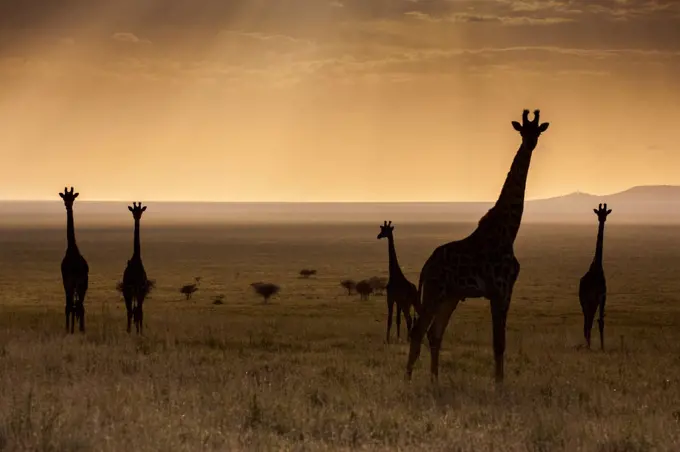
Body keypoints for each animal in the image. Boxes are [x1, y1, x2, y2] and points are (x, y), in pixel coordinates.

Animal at [406, 109, 548, 384]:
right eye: (522, 130)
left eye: (537, 130)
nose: (530, 143)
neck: (508, 232)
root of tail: (426, 267)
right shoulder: (498, 291)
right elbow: (498, 343)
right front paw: (499, 385)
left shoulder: (507, 291)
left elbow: (501, 343)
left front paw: (500, 383)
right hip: (434, 292)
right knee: (419, 331)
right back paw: (407, 380)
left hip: (450, 296)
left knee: (435, 333)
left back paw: (435, 380)